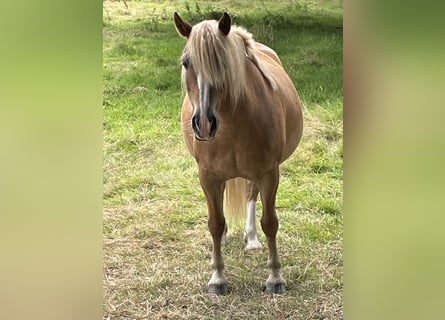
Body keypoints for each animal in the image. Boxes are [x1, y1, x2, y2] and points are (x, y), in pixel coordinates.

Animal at [173, 11, 302, 296]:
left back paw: (251, 238)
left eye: (223, 63)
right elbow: (215, 222)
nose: (204, 124)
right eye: (186, 63)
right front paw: (217, 278)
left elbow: (270, 222)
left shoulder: (269, 173)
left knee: (251, 196)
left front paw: (275, 277)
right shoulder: (208, 176)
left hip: (256, 174)